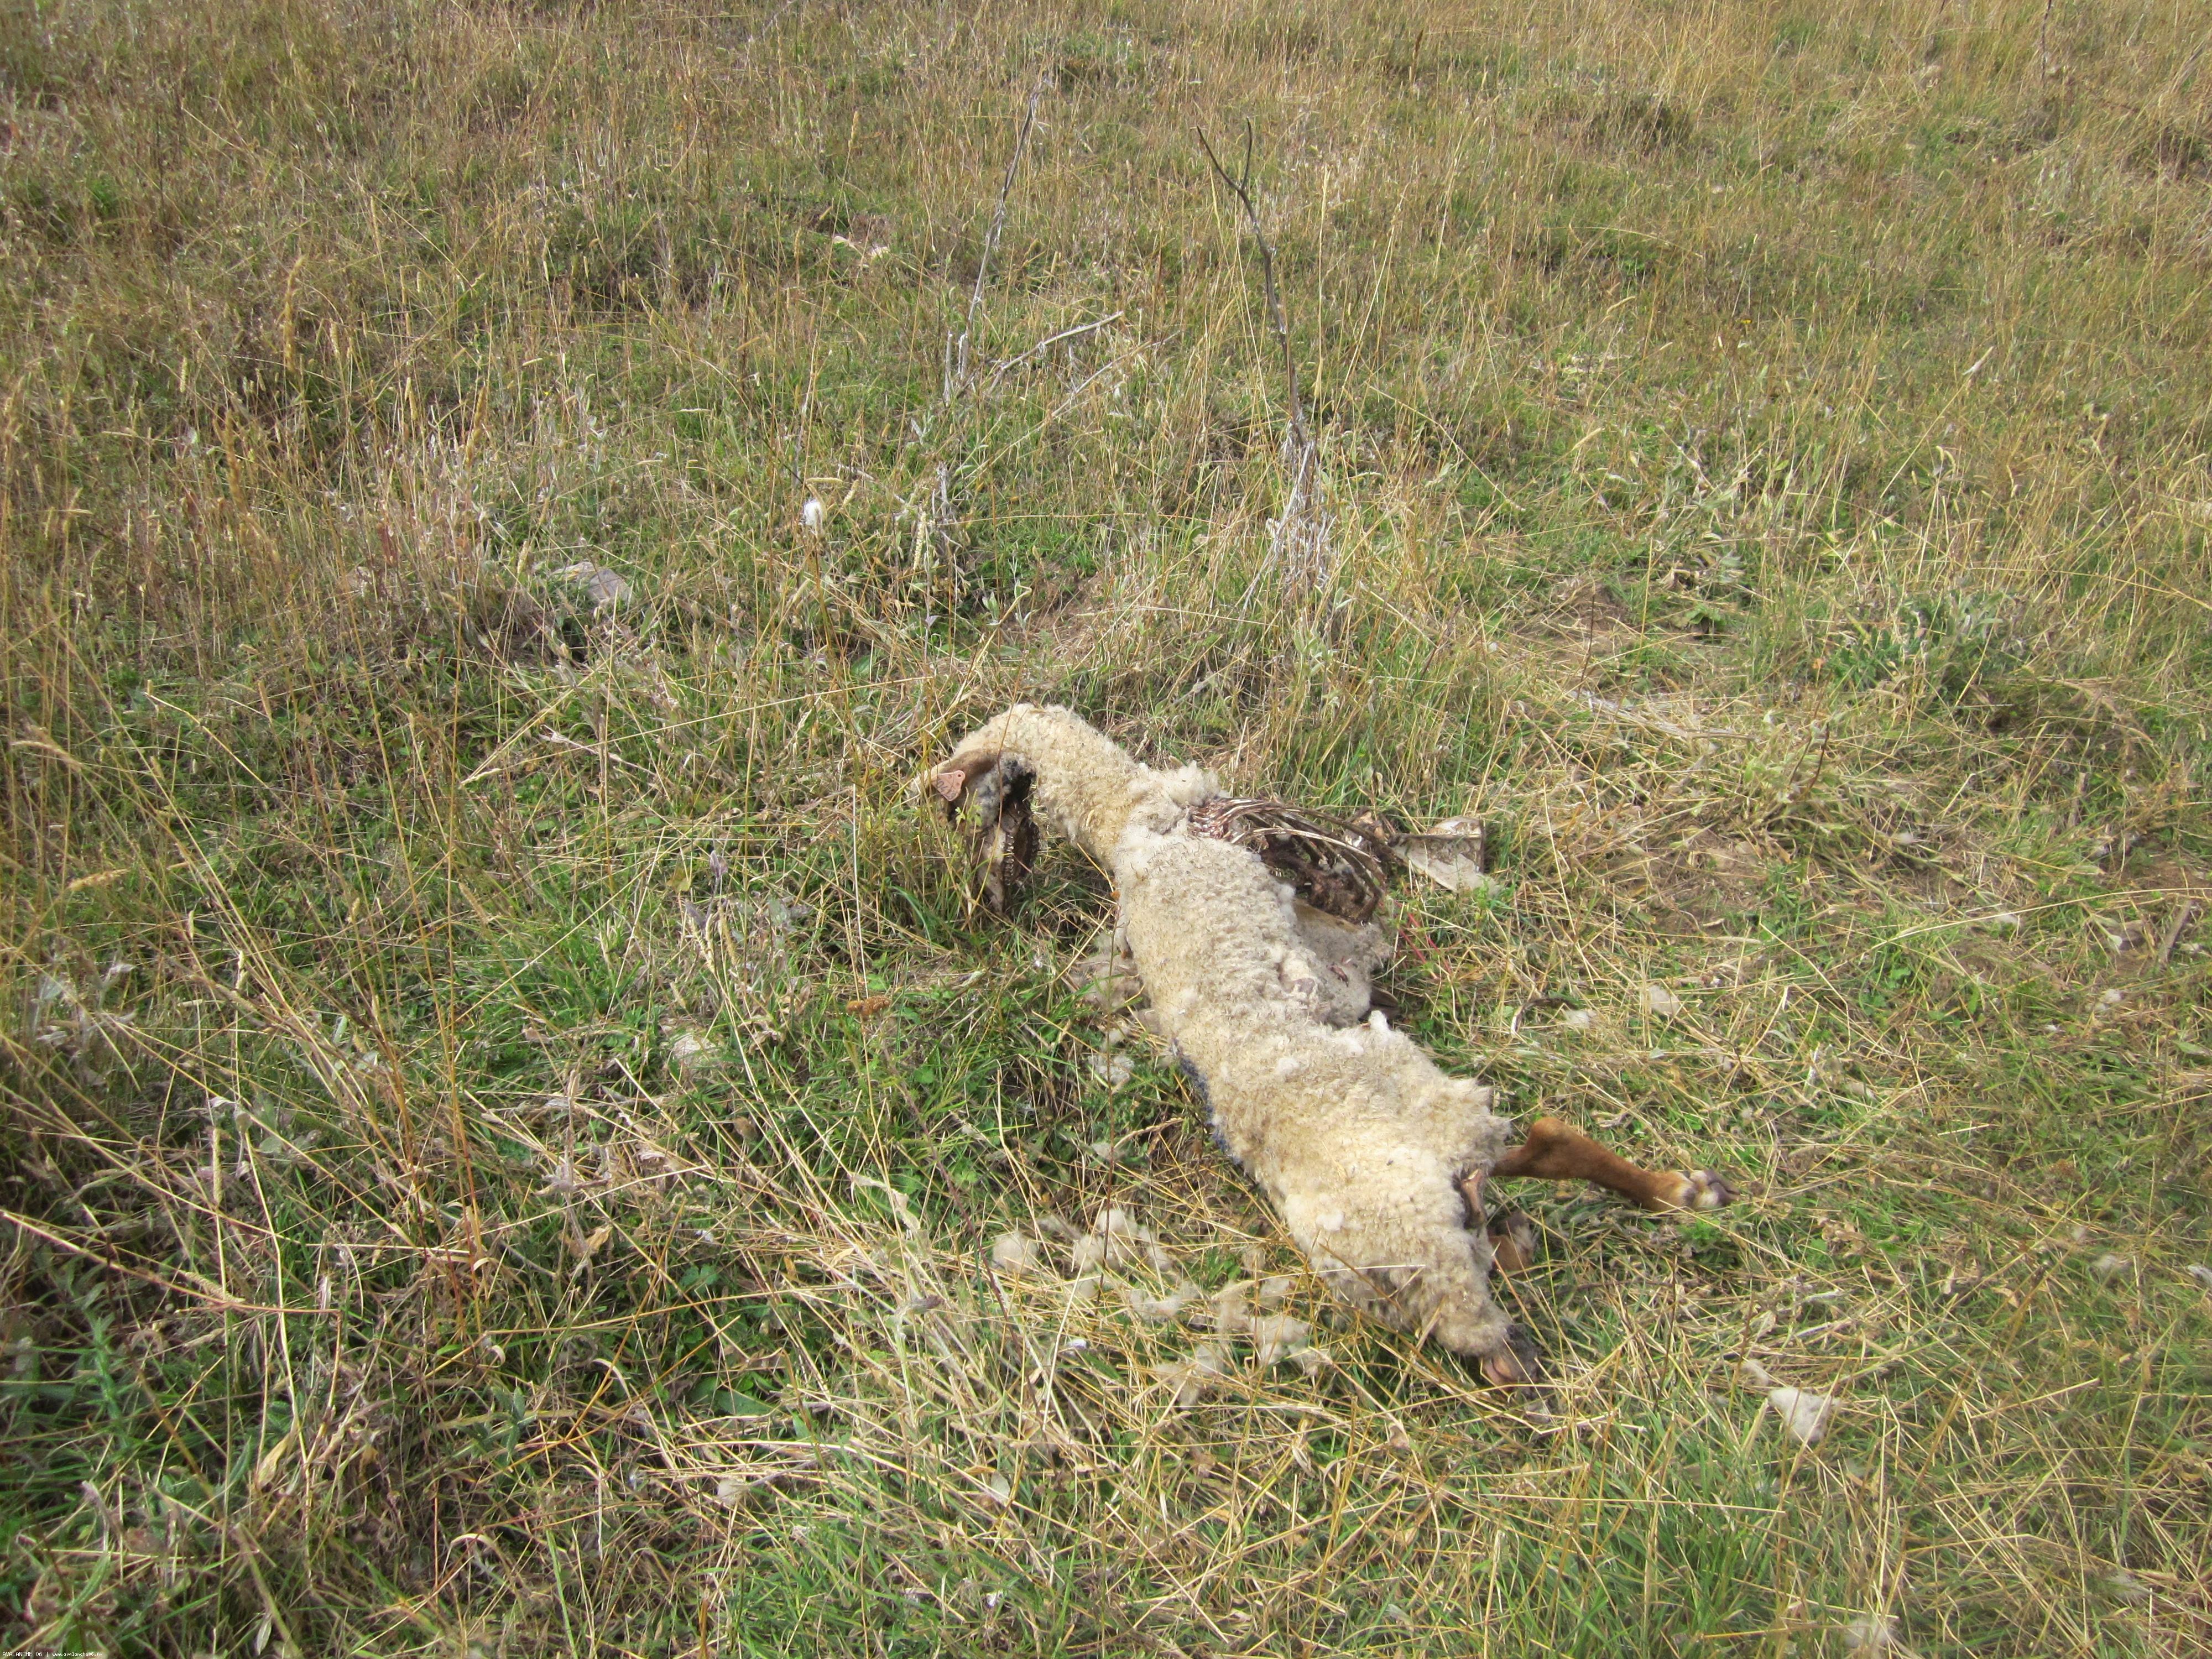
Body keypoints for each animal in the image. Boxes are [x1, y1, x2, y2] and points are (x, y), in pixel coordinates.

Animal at [931, 704, 1735, 1384]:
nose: (992, 890)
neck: (1129, 816)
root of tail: (1444, 1299)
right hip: (1431, 1132)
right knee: (1541, 1142)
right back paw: (1686, 1191)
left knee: (1523, 1174)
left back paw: (1674, 1199)